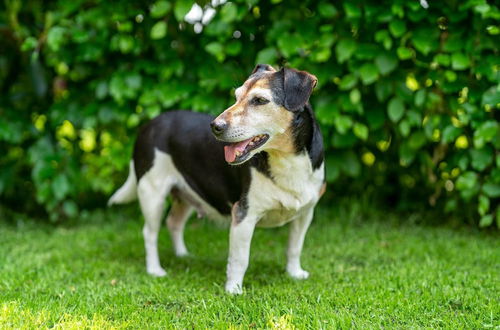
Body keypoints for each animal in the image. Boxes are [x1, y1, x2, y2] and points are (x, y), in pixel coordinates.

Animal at [109, 64, 326, 294]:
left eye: (259, 100)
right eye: (236, 96)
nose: (215, 126)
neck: (286, 160)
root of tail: (149, 124)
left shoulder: (306, 213)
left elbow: (295, 247)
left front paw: (294, 274)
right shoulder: (244, 215)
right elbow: (240, 259)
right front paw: (233, 290)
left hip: (186, 194)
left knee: (174, 222)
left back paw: (183, 255)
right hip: (152, 194)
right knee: (149, 233)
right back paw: (155, 270)